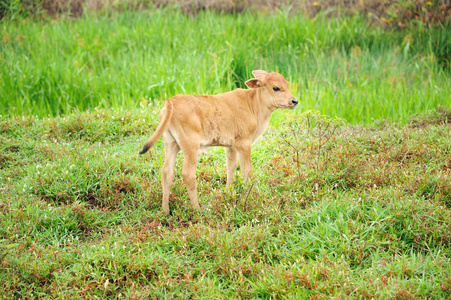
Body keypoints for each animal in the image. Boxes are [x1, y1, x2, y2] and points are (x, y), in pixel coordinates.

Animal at [139, 69, 298, 216]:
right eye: (276, 87)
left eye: (286, 84)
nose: (294, 101)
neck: (253, 104)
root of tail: (172, 101)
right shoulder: (244, 144)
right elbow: (247, 171)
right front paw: (245, 199)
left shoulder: (231, 146)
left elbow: (231, 167)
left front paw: (228, 193)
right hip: (191, 146)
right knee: (188, 174)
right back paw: (197, 209)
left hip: (171, 143)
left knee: (166, 172)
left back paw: (165, 210)